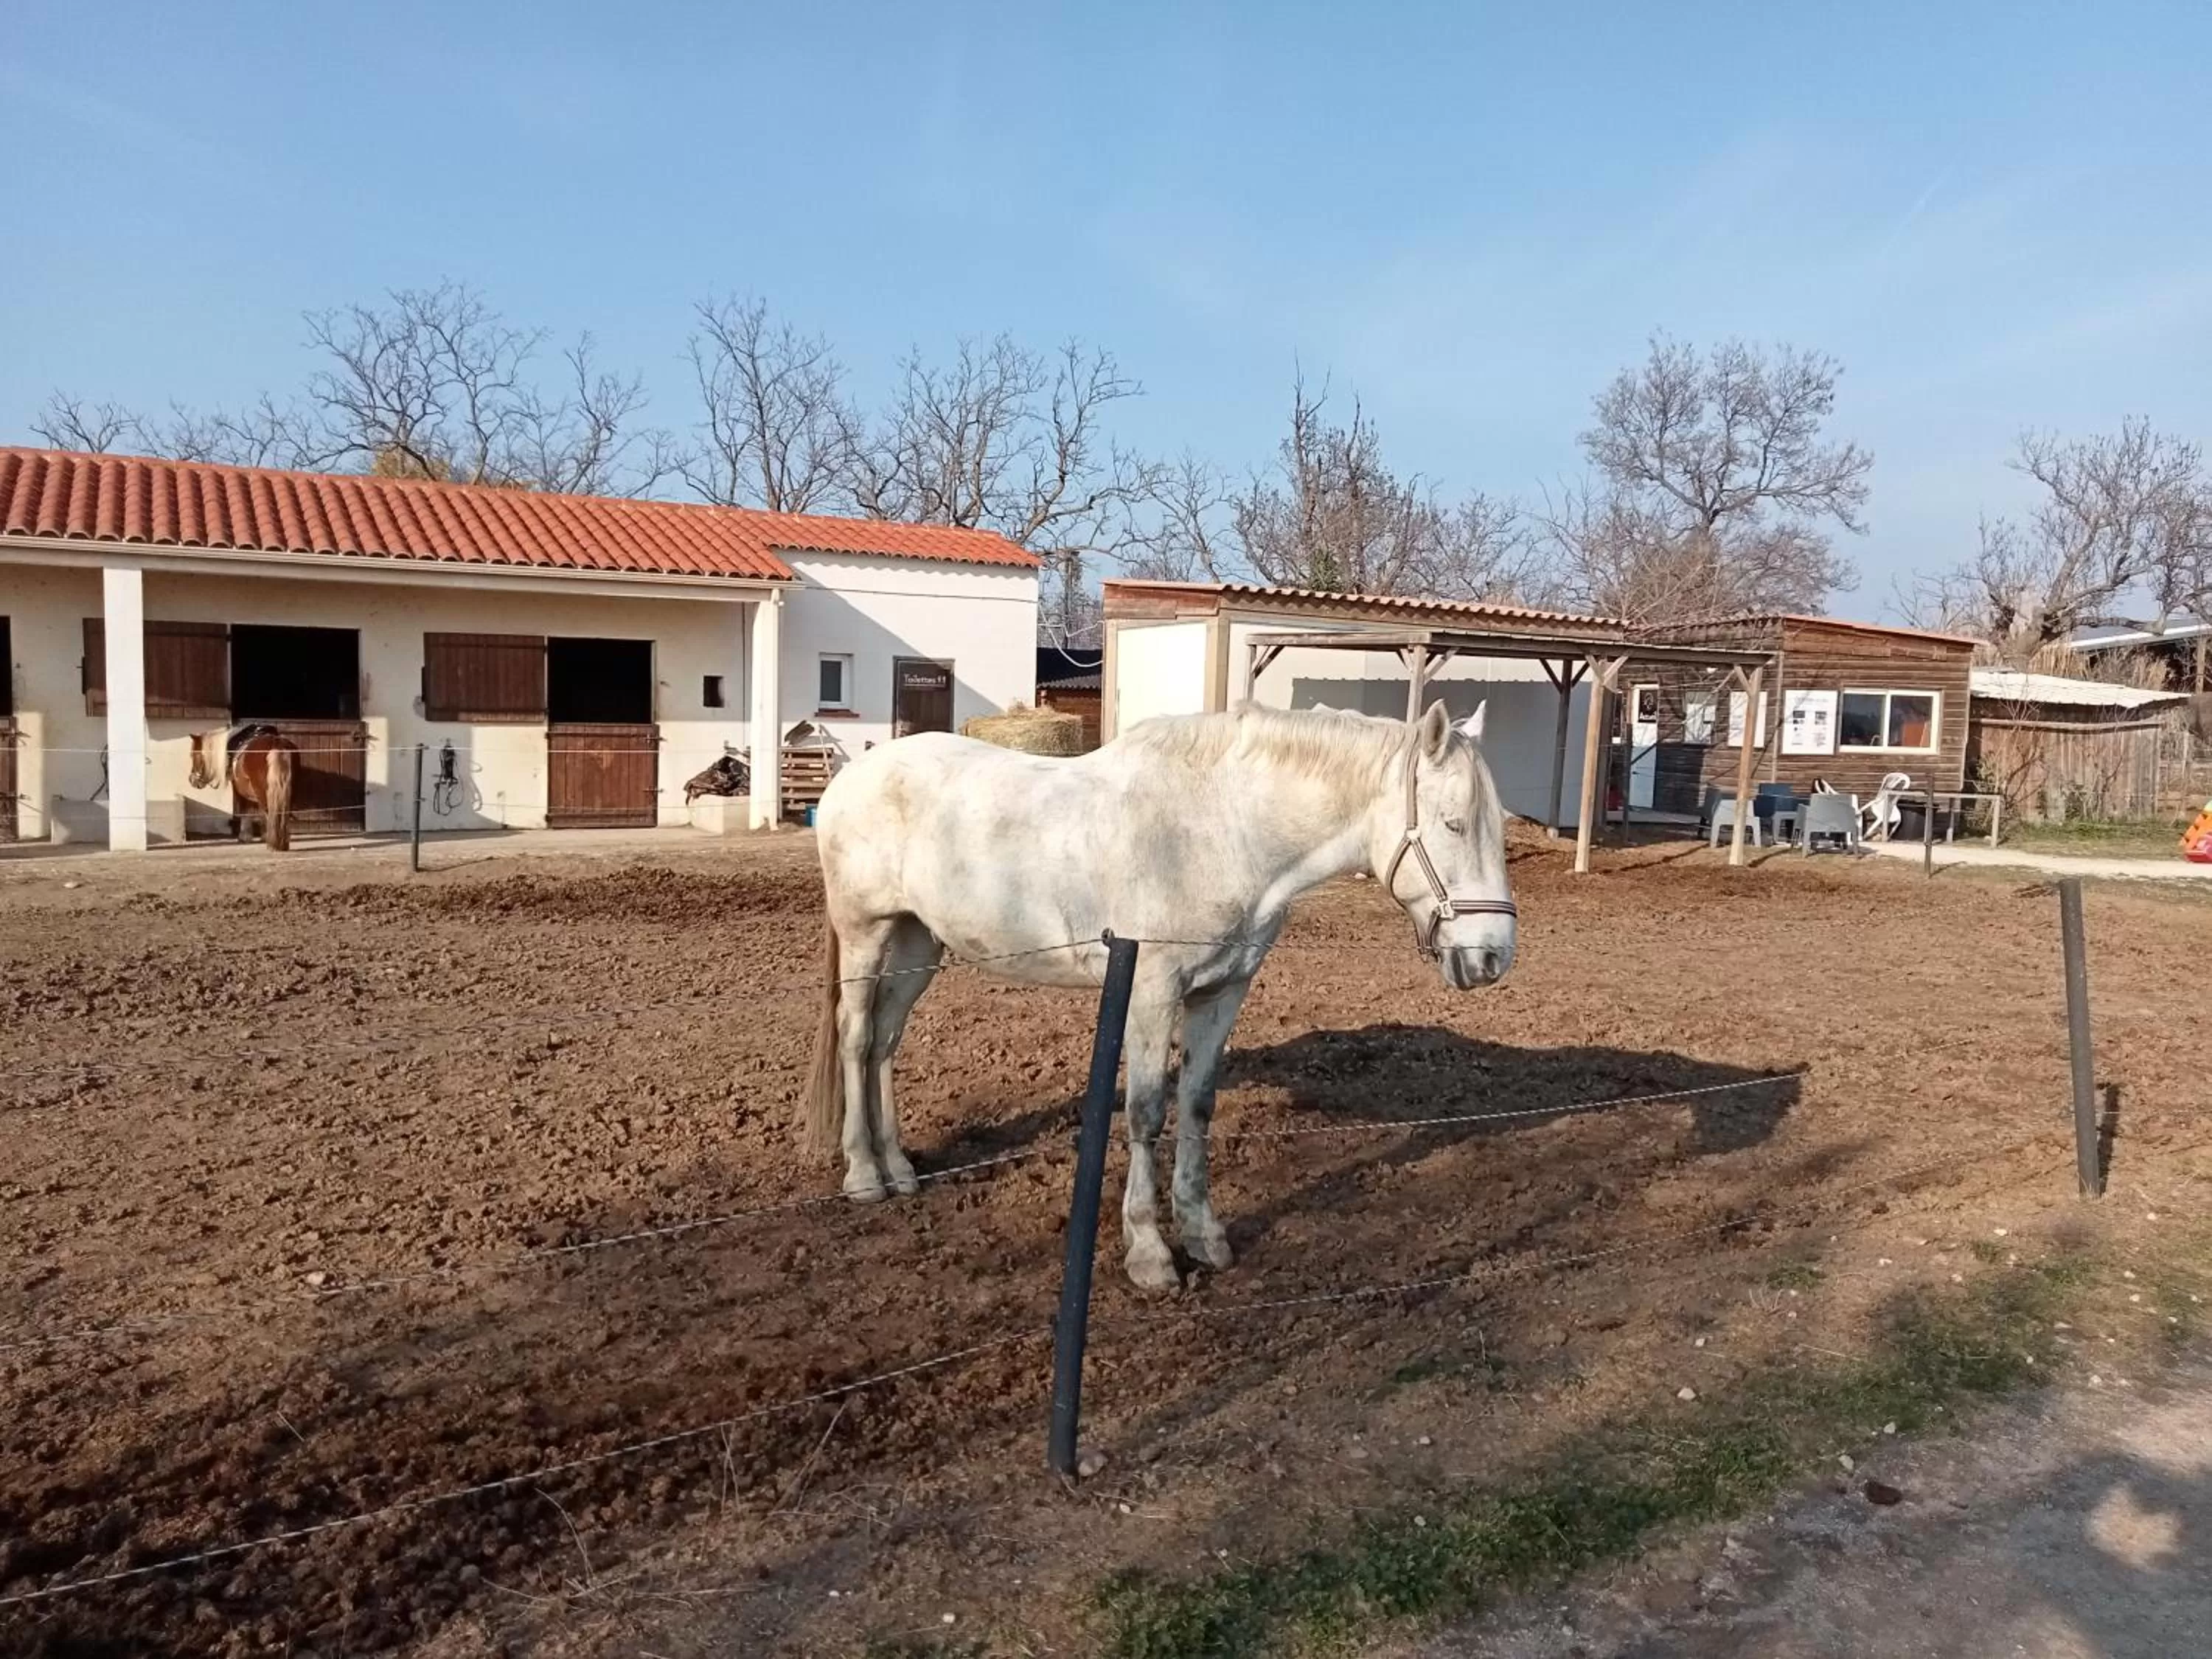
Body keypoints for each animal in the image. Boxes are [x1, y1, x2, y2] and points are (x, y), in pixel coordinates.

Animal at [187, 725, 298, 852]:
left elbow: (246, 810)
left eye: (193, 754)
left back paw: (273, 844)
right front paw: (263, 836)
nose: (192, 780)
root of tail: (276, 743)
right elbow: (259, 812)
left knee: (269, 811)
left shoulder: (239, 789)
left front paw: (245, 836)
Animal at [806, 699, 1517, 1291]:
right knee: (857, 1039)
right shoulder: (1151, 993)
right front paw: (1149, 1253)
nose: (1493, 956)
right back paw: (864, 1175)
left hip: (918, 943)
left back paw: (900, 1169)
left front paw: (1203, 1236)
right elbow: (1146, 1113)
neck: (1220, 828)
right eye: (1453, 824)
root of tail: (852, 775)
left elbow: (1196, 1107)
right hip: (867, 938)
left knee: (886, 1045)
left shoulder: (1222, 993)